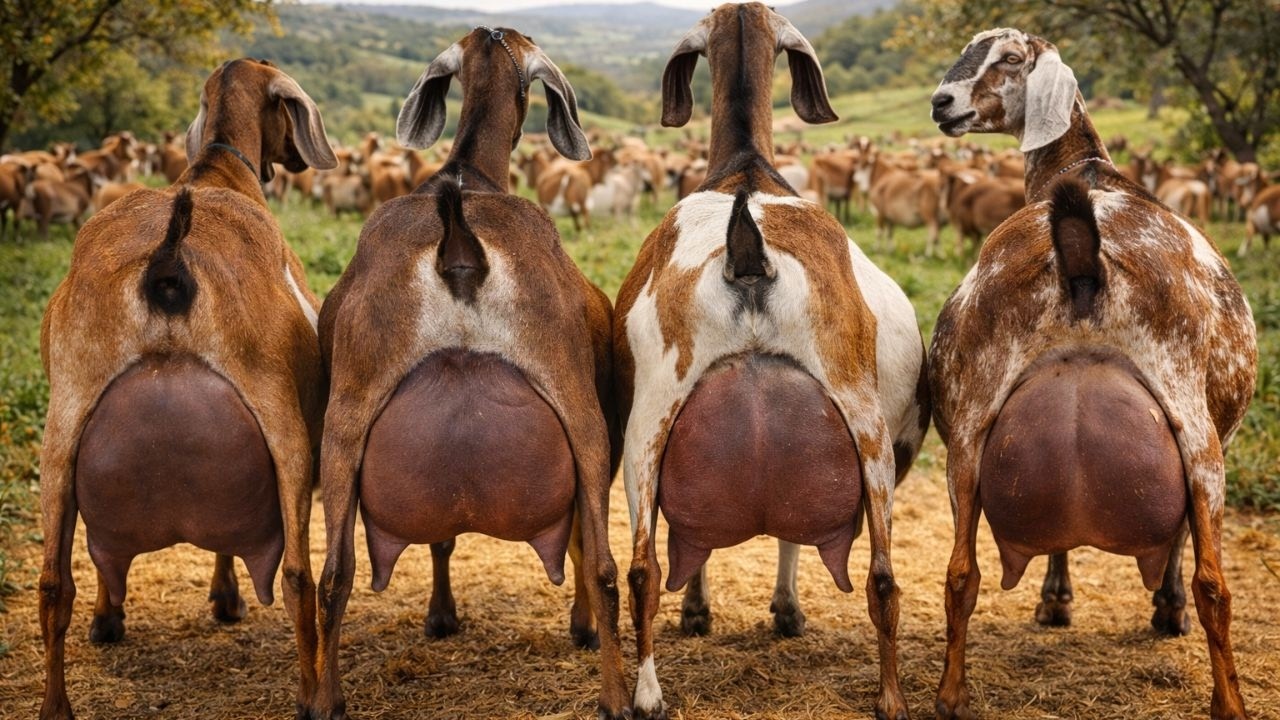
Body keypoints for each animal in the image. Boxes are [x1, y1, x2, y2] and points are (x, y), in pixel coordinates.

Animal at [36, 59, 336, 720]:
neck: (218, 168)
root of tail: (168, 265)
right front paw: (225, 598)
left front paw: (112, 618)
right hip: (280, 419)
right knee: (298, 576)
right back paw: (312, 697)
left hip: (64, 421)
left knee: (54, 582)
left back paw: (56, 703)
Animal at [309, 27, 628, 719]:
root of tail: (458, 243)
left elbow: (440, 532)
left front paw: (441, 616)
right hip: (580, 407)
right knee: (601, 563)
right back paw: (619, 694)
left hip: (345, 417)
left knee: (334, 573)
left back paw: (324, 699)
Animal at [615, 5, 927, 718]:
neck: (746, 168)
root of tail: (748, 251)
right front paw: (774, 610)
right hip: (864, 423)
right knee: (883, 577)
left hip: (650, 423)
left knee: (645, 568)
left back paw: (648, 695)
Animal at [930, 29, 1256, 719]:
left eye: (1008, 57)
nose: (943, 104)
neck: (1081, 170)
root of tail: (1080, 253)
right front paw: (1156, 610)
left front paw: (1056, 601)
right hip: (1196, 427)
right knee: (1214, 583)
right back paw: (1229, 702)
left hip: (968, 426)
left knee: (961, 573)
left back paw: (950, 695)